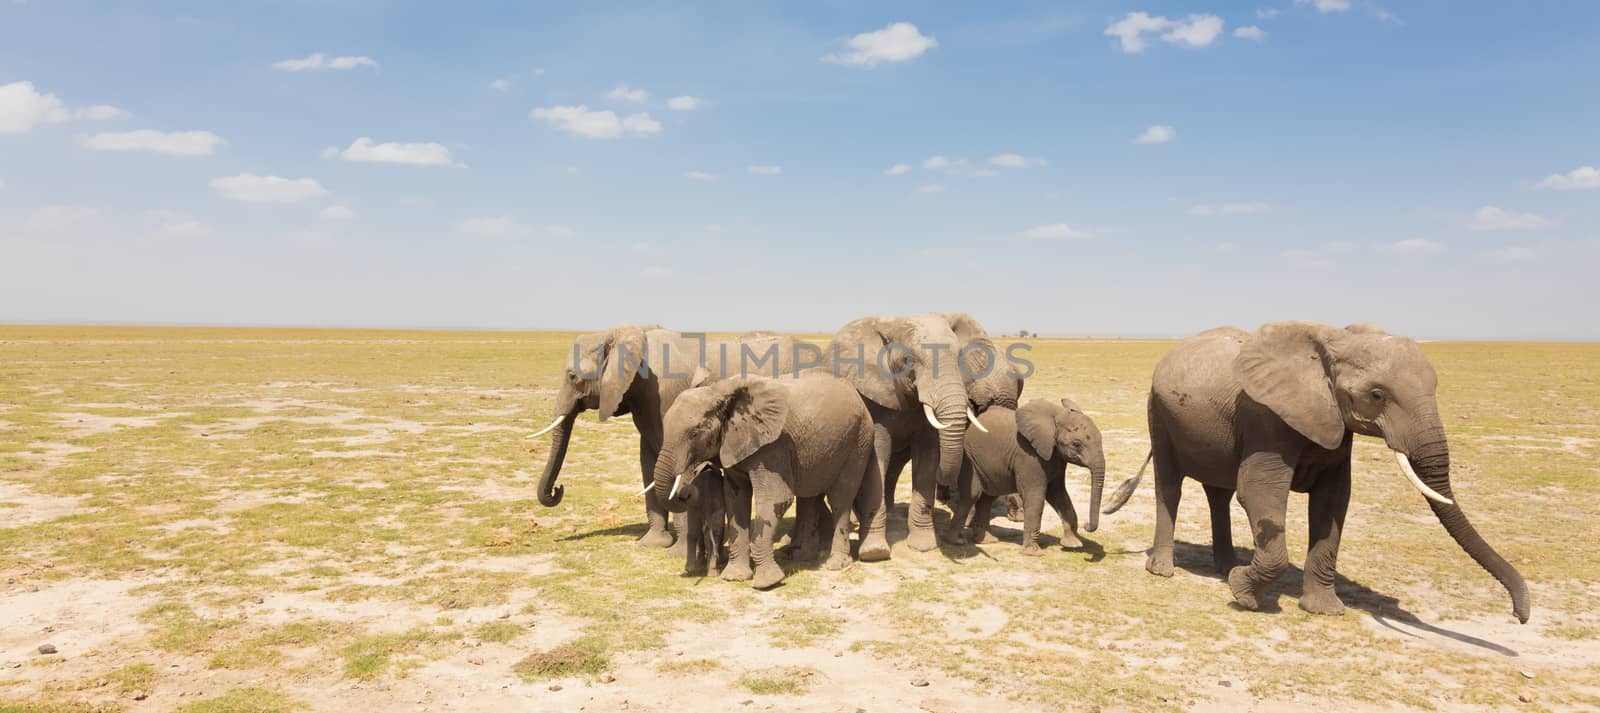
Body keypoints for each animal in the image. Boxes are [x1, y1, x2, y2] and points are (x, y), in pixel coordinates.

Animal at [531, 326, 800, 553]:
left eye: (572, 377)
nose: (557, 489)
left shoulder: (666, 395)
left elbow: (682, 466)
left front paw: (679, 550)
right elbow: (648, 460)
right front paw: (653, 543)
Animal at [656, 372, 896, 591]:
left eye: (695, 432)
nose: (684, 491)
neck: (719, 391)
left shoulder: (772, 446)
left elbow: (777, 499)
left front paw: (767, 583)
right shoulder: (734, 445)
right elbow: (736, 501)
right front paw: (734, 577)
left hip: (857, 441)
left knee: (840, 498)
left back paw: (837, 564)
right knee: (810, 495)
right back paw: (802, 557)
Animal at [825, 311, 1024, 549]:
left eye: (959, 360)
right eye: (909, 361)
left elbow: (928, 455)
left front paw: (924, 545)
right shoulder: (873, 394)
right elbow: (878, 453)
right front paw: (875, 550)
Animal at [940, 398, 1107, 553]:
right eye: (1076, 444)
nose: (1087, 526)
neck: (1056, 416)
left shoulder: (1057, 457)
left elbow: (1058, 494)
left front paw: (1073, 545)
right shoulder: (1028, 455)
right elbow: (1036, 496)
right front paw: (1033, 552)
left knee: (987, 498)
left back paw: (987, 541)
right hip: (969, 459)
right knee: (973, 495)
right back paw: (956, 541)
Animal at [1107, 319, 1529, 620]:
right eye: (1377, 395)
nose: (1520, 614)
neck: (1332, 344)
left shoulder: (1335, 426)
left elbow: (1332, 502)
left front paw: (1324, 610)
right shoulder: (1266, 417)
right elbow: (1259, 491)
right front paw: (1243, 593)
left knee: (1219, 493)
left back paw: (1225, 564)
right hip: (1158, 411)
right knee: (1171, 485)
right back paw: (1164, 570)